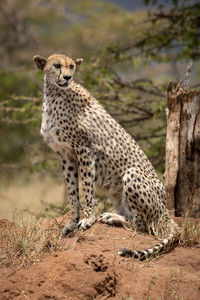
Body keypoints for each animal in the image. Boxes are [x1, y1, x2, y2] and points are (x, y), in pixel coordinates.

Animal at [33, 54, 179, 260]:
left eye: (72, 66)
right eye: (56, 65)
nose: (68, 77)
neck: (54, 93)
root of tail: (166, 210)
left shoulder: (84, 149)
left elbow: (87, 189)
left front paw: (88, 219)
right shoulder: (66, 155)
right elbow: (72, 193)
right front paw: (72, 223)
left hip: (132, 174)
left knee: (143, 225)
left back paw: (113, 218)